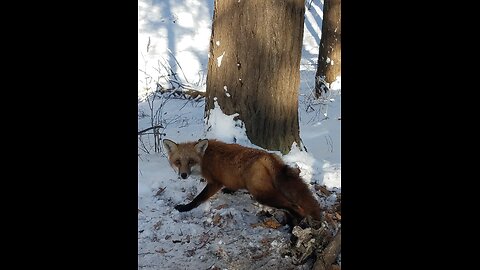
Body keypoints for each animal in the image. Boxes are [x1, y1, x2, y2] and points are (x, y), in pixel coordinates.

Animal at [161, 138, 322, 225]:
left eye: (191, 161)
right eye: (178, 162)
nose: (183, 175)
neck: (205, 158)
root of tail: (268, 156)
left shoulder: (215, 182)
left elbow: (198, 198)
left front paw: (185, 208)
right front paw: (230, 190)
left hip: (262, 195)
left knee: (294, 205)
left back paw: (297, 223)